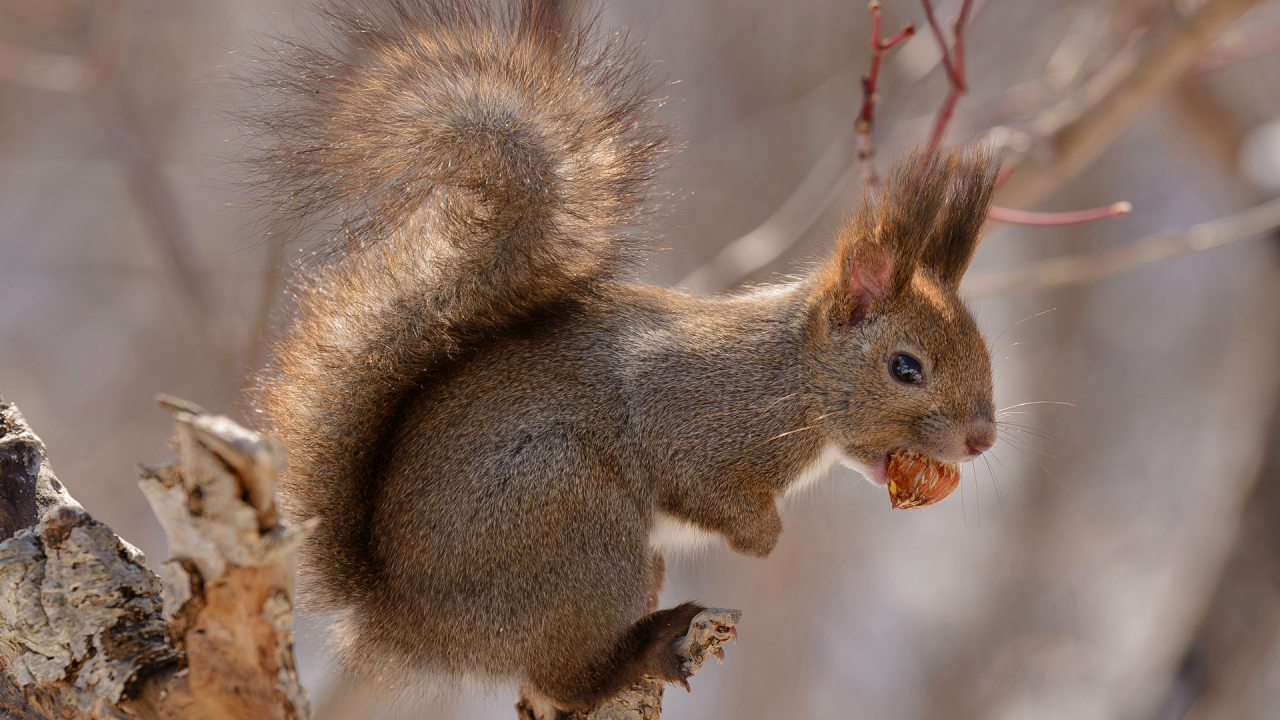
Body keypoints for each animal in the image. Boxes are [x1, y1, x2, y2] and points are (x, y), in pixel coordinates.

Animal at [240, 1, 998, 712]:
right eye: (905, 367)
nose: (982, 440)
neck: (795, 378)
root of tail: (404, 620)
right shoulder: (695, 416)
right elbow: (703, 483)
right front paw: (764, 538)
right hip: (575, 529)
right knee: (567, 675)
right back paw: (646, 651)